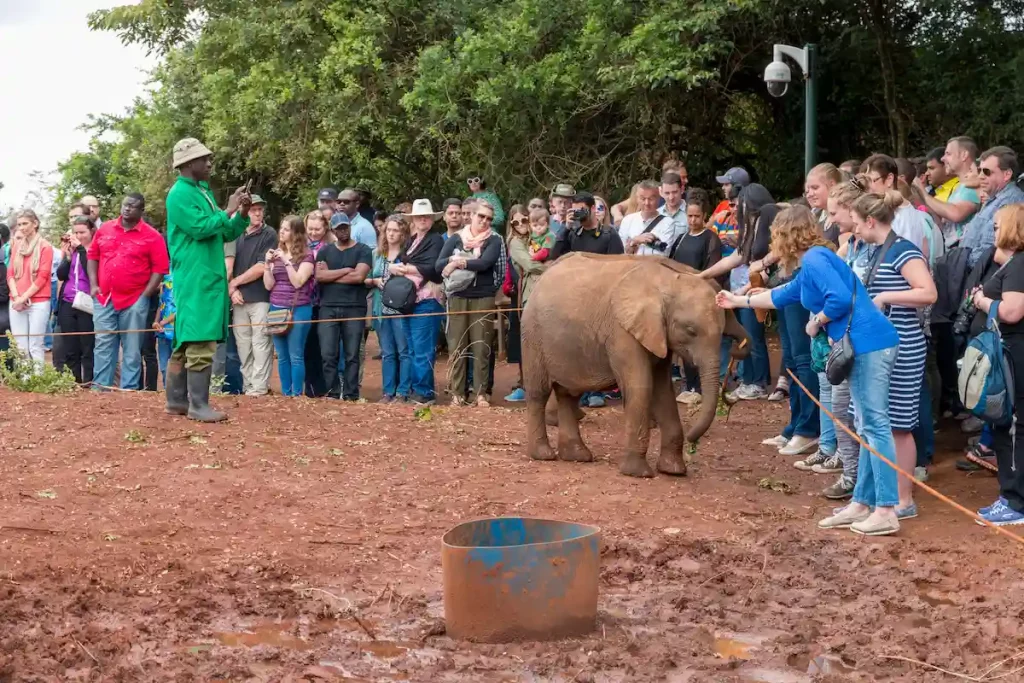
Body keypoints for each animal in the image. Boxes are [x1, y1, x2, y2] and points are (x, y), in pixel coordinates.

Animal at [522, 252, 751, 477]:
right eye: (690, 330)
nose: (693, 442)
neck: (668, 281)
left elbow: (663, 390)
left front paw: (673, 470)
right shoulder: (622, 332)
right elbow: (641, 387)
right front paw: (638, 473)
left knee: (568, 394)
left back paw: (577, 456)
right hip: (533, 334)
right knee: (539, 392)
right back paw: (543, 455)